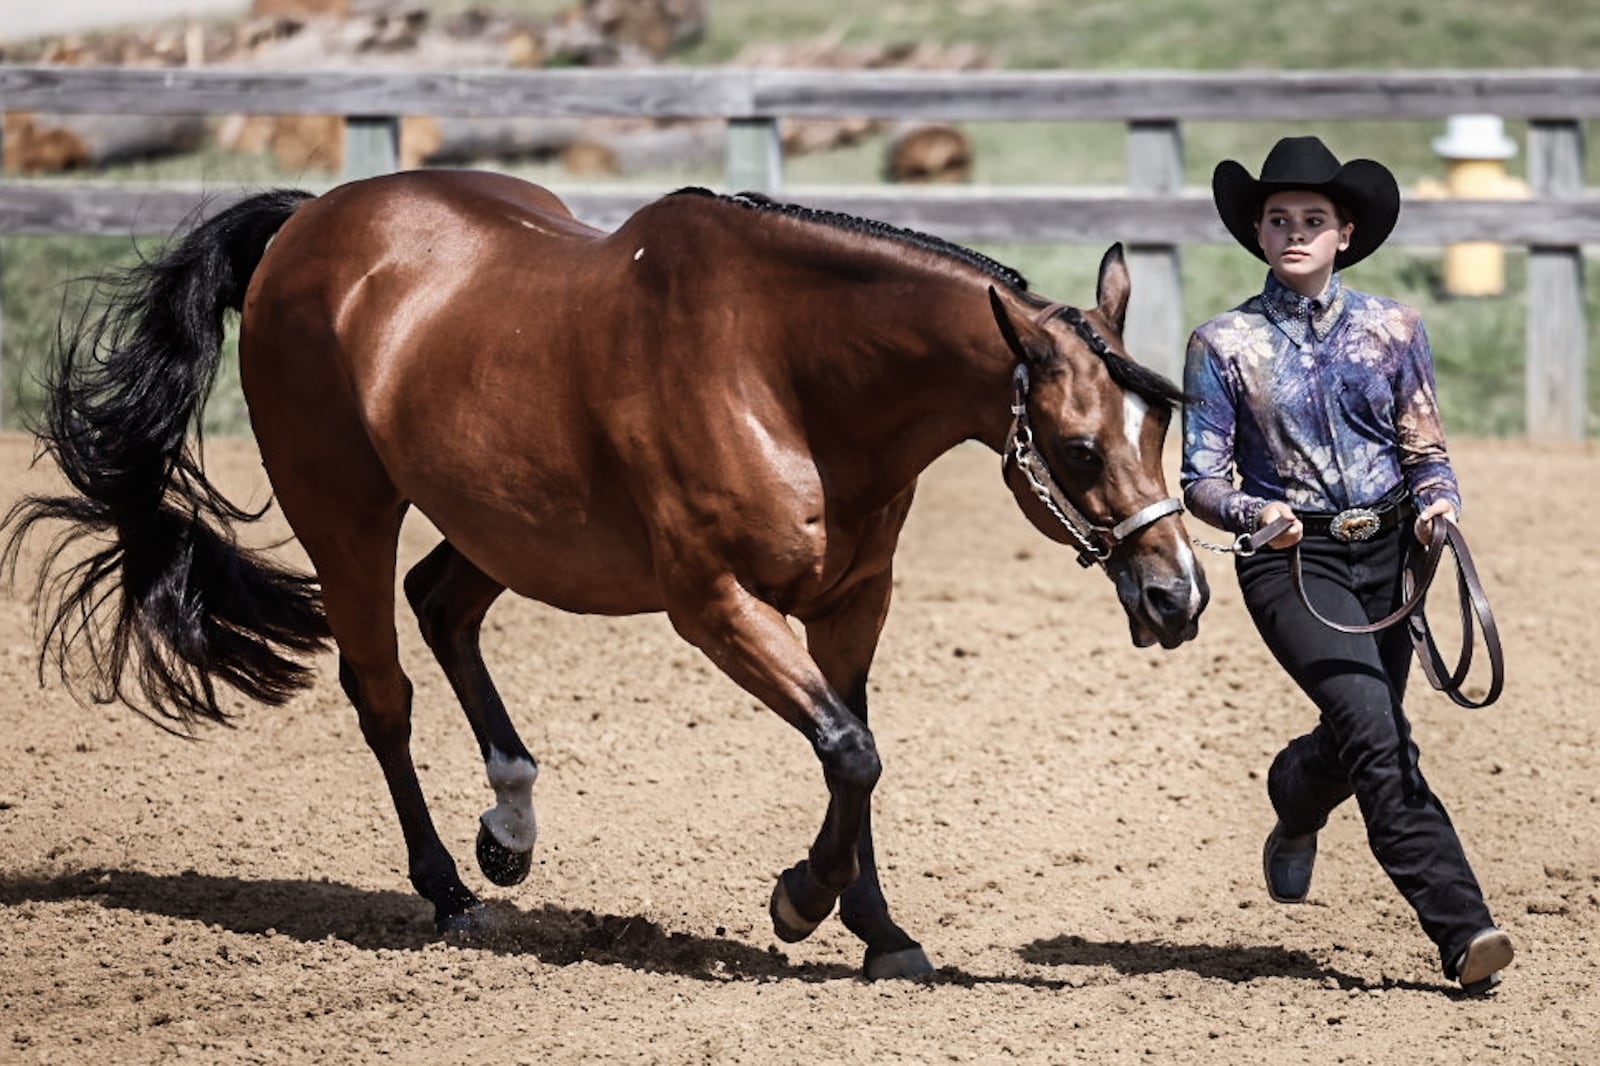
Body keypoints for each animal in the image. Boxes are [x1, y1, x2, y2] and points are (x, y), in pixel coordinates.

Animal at [0, 170, 1203, 973]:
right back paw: (450, 893)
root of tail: (306, 223)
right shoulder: (715, 605)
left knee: (440, 607)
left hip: (508, 525)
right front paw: (798, 902)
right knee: (381, 690)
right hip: (344, 513)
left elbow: (854, 755)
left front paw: (880, 933)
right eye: (1080, 449)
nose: (1177, 596)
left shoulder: (853, 603)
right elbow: (851, 752)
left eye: (1165, 426)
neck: (785, 371)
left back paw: (509, 829)